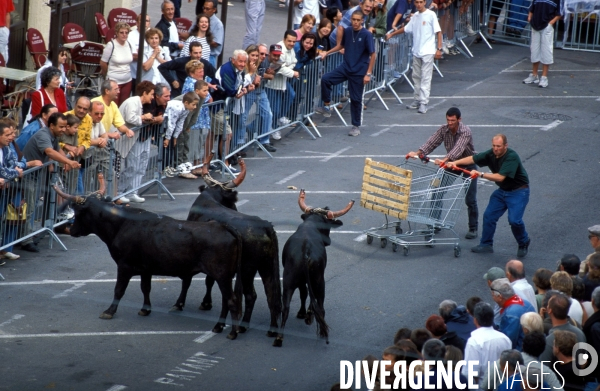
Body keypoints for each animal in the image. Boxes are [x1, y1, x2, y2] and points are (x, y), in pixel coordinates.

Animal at [54, 185, 245, 342]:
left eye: (79, 212)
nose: (72, 230)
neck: (121, 224)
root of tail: (223, 227)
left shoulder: (124, 266)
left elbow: (119, 290)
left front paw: (109, 311)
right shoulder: (146, 269)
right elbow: (145, 288)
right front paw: (145, 309)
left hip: (222, 276)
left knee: (232, 301)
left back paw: (232, 332)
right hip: (225, 277)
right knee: (226, 301)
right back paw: (218, 327)